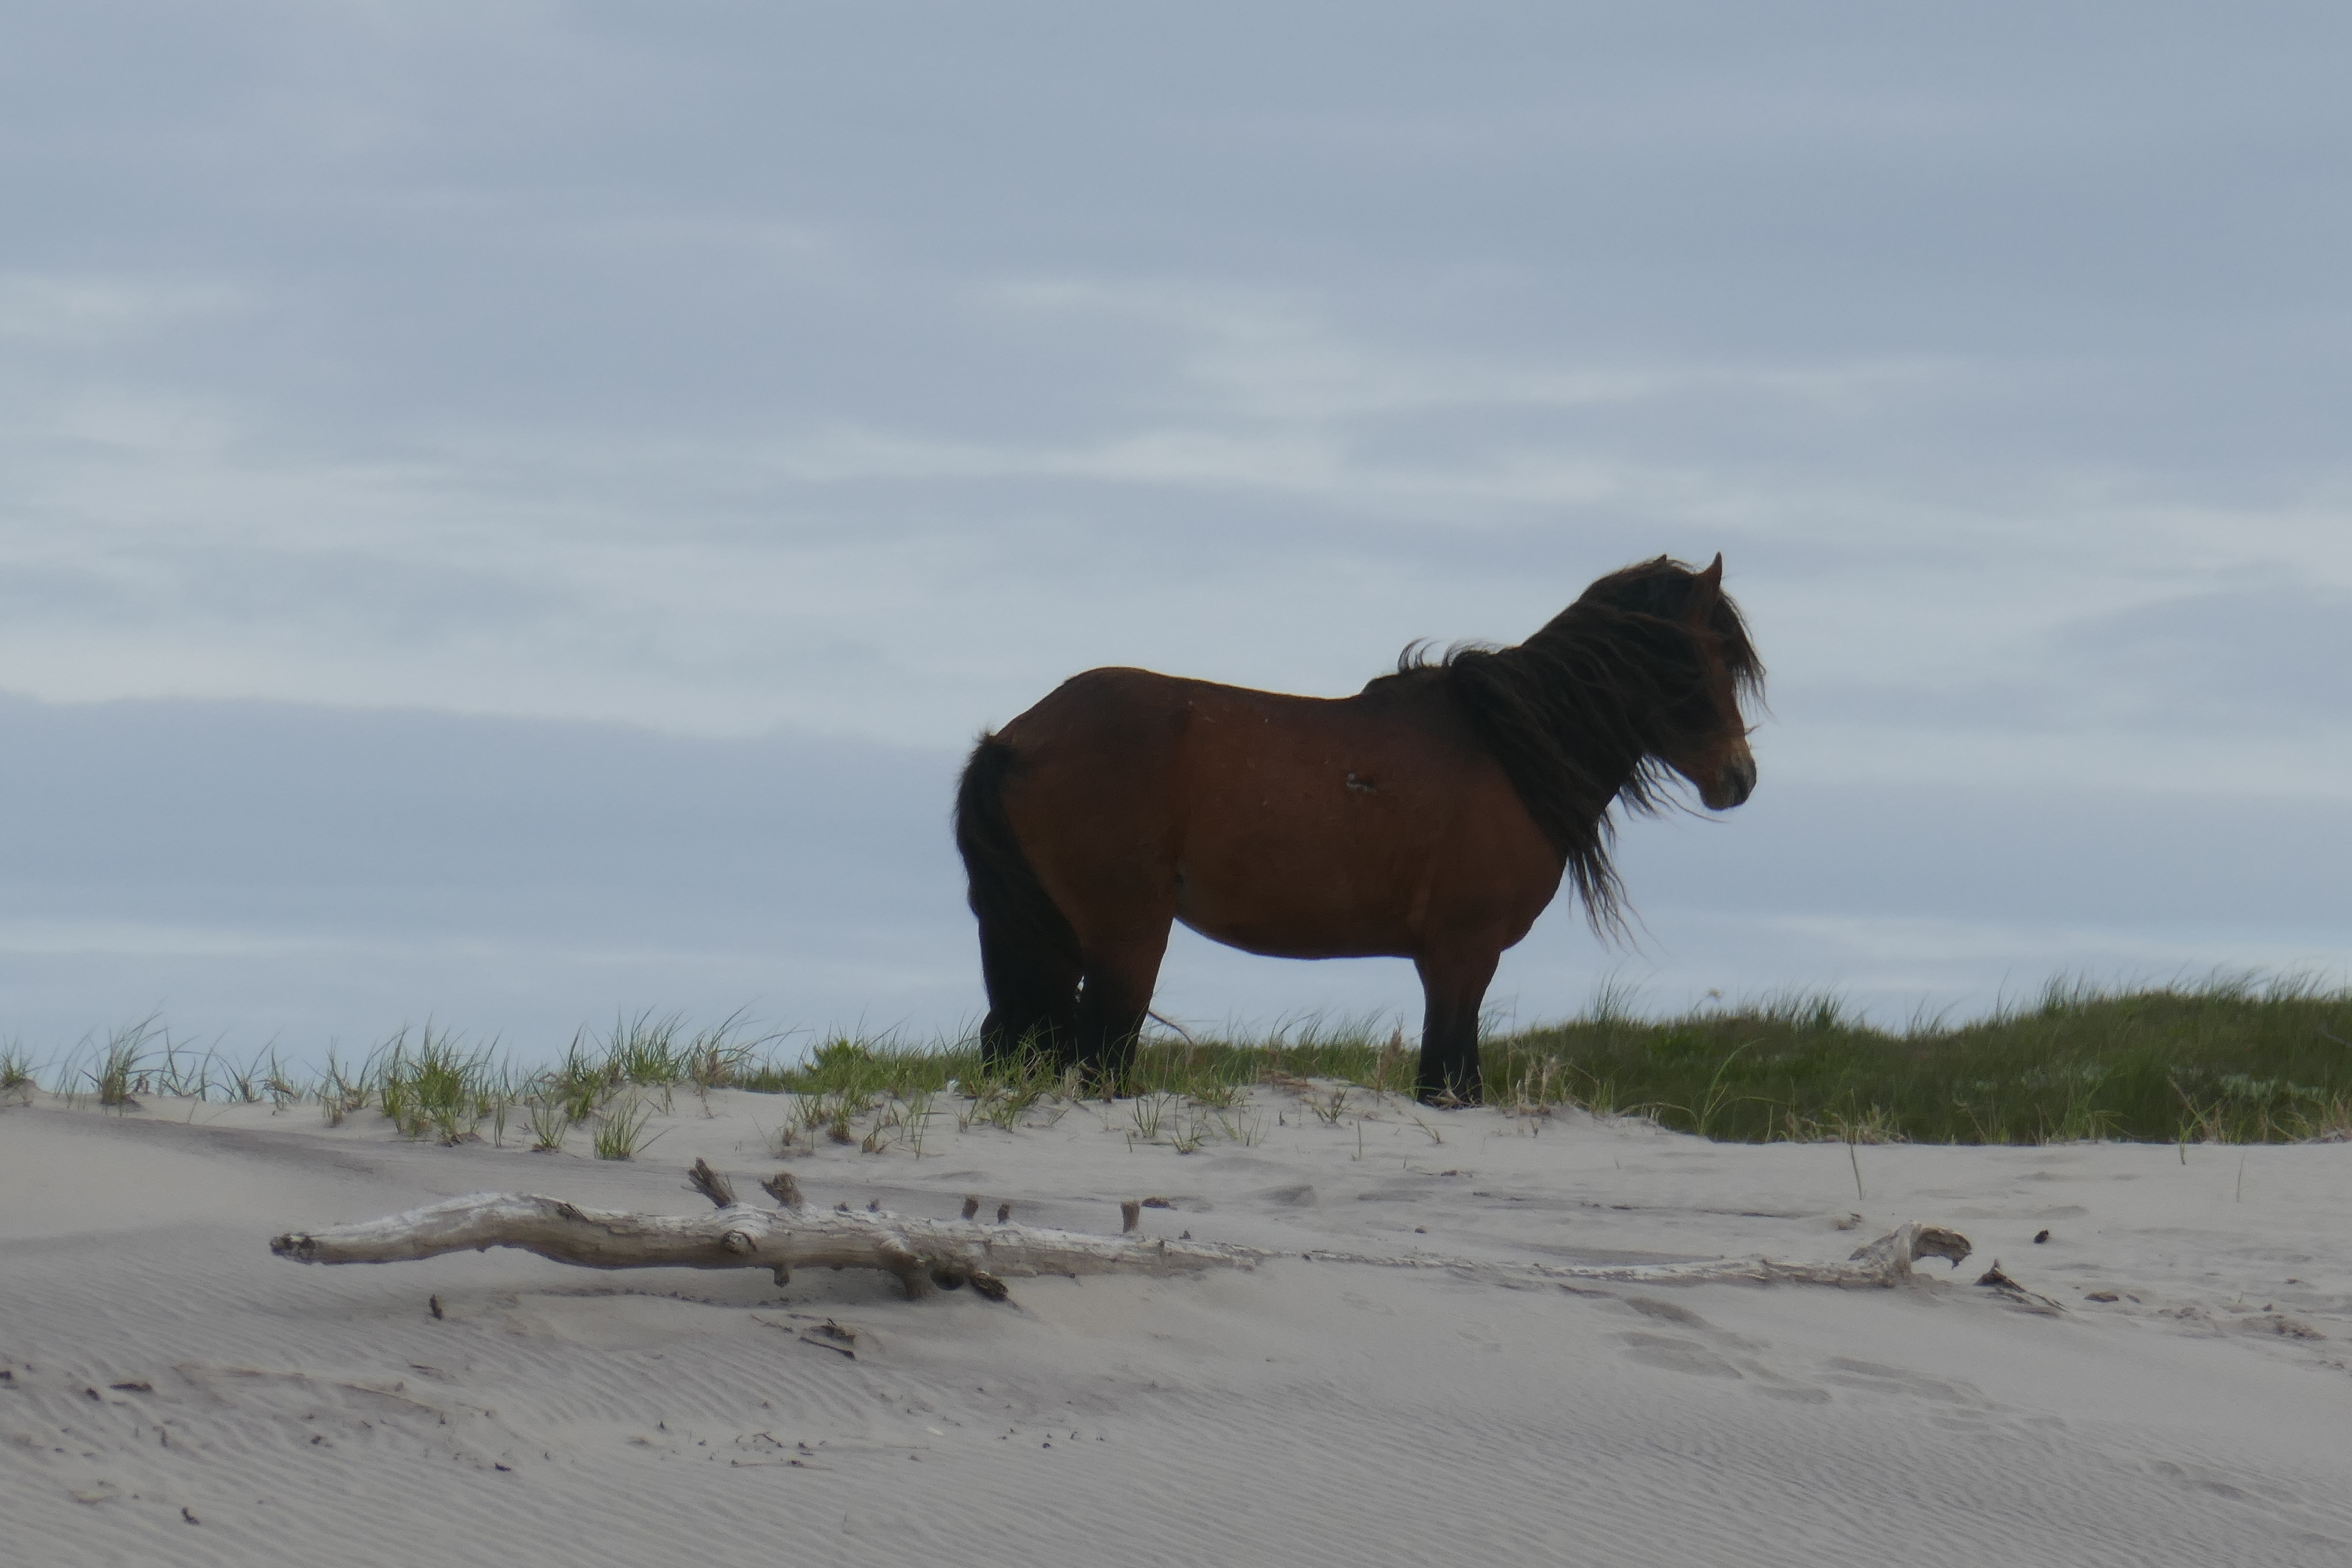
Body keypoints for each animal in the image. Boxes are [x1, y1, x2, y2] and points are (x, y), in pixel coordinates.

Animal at [945, 552, 1759, 1105]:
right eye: (1706, 658)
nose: (1739, 778)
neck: (1504, 748)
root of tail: (1017, 739)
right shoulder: (1463, 952)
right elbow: (1450, 1079)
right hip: (1126, 937)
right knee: (1100, 1058)